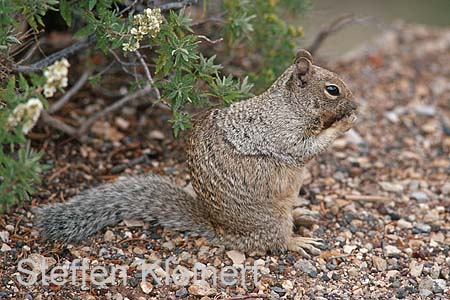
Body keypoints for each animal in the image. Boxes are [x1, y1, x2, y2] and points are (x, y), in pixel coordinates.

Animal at [35, 49, 356, 255]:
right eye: (332, 89)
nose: (354, 106)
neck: (290, 105)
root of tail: (224, 232)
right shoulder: (285, 136)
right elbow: (308, 148)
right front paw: (345, 123)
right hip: (273, 221)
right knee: (273, 242)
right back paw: (296, 242)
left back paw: (301, 214)